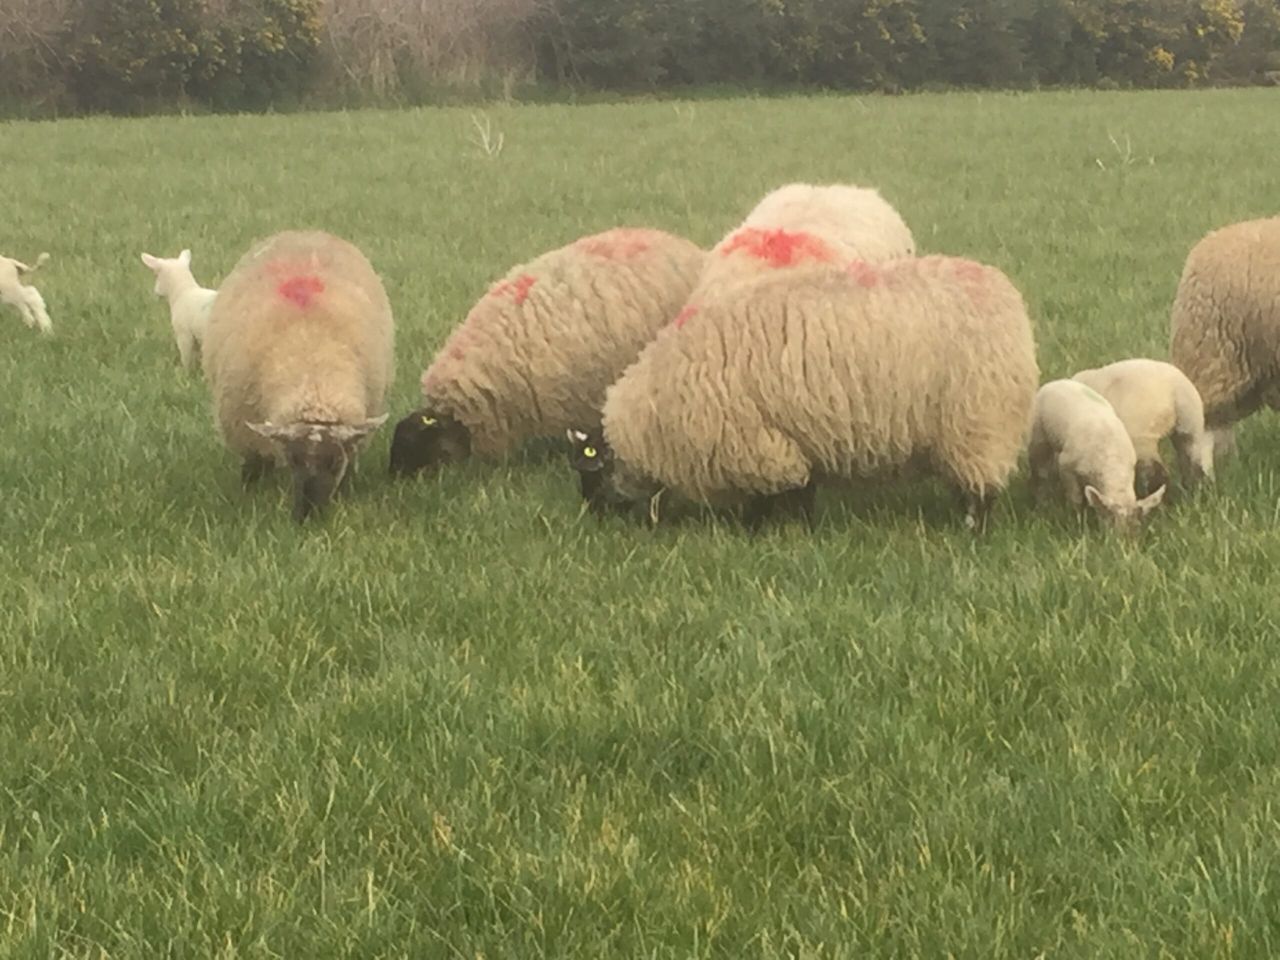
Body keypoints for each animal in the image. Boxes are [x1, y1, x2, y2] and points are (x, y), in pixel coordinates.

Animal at [202, 230, 394, 522]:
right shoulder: (244, 433)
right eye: (293, 460)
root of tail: (306, 231)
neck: (312, 376)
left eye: (335, 461)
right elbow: (253, 468)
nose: (308, 515)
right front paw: (249, 496)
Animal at [570, 255, 1038, 532]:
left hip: (979, 421)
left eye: (595, 459)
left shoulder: (753, 445)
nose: (592, 510)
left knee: (981, 490)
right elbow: (801, 488)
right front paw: (804, 527)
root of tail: (1005, 293)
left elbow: (769, 496)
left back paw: (972, 530)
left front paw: (757, 531)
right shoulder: (791, 438)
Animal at [1028, 379, 1166, 532]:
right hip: (1038, 435)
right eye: (1111, 521)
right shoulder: (1066, 465)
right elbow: (1075, 497)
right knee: (1040, 472)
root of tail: (1057, 381)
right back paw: (1041, 503)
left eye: (1137, 527)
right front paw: (1077, 520)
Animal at [1070, 358, 1214, 497]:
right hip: (1190, 424)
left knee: (1156, 473)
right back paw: (1193, 493)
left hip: (1142, 435)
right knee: (1193, 464)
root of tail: (1174, 392)